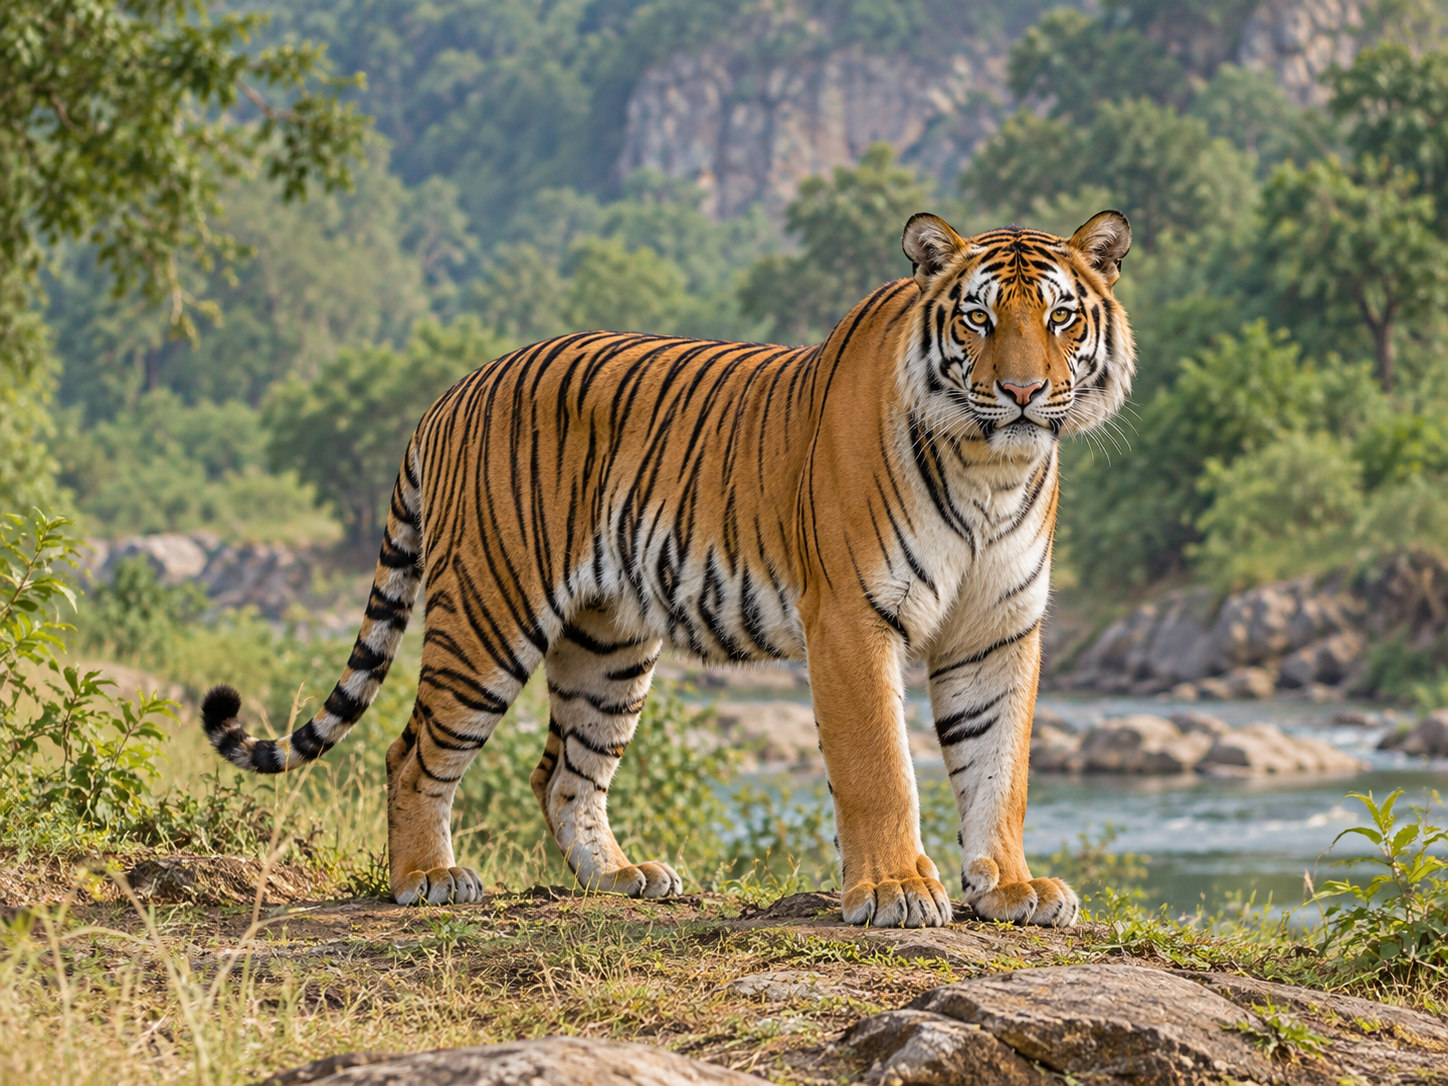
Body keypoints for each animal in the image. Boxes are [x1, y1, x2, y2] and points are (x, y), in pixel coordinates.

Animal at [201, 209, 1134, 929]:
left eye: (1059, 319)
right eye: (978, 319)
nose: (1021, 393)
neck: (991, 470)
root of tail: (451, 391)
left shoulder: (997, 630)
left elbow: (999, 769)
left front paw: (1011, 887)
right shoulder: (852, 618)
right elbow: (879, 768)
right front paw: (897, 890)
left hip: (608, 643)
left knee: (563, 771)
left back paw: (620, 877)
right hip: (489, 614)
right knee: (412, 751)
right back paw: (427, 878)